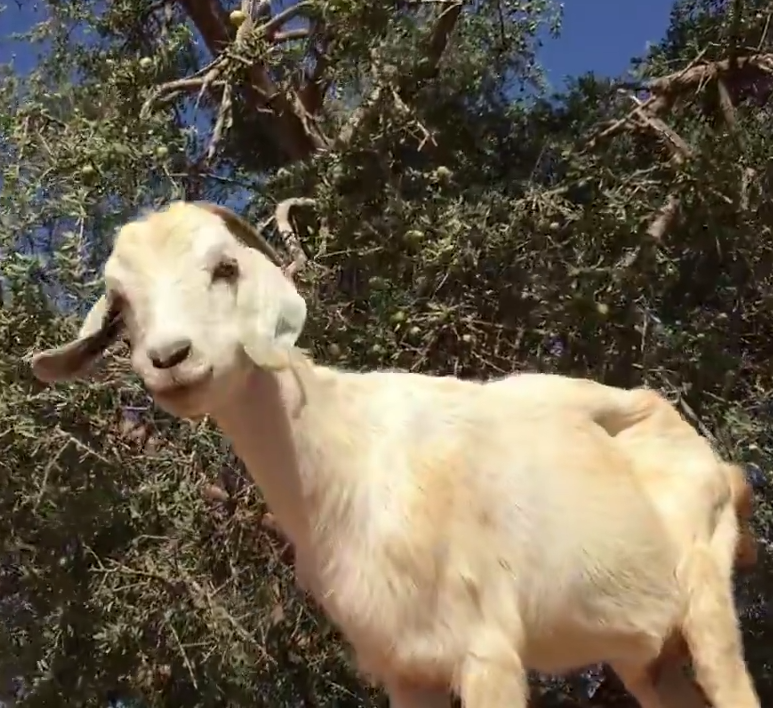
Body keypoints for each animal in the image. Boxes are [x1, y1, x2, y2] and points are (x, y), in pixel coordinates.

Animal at [27, 202, 756, 708]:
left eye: (225, 268)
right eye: (121, 305)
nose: (170, 359)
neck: (346, 460)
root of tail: (719, 466)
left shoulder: (487, 650)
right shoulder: (405, 667)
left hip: (706, 602)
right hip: (646, 654)